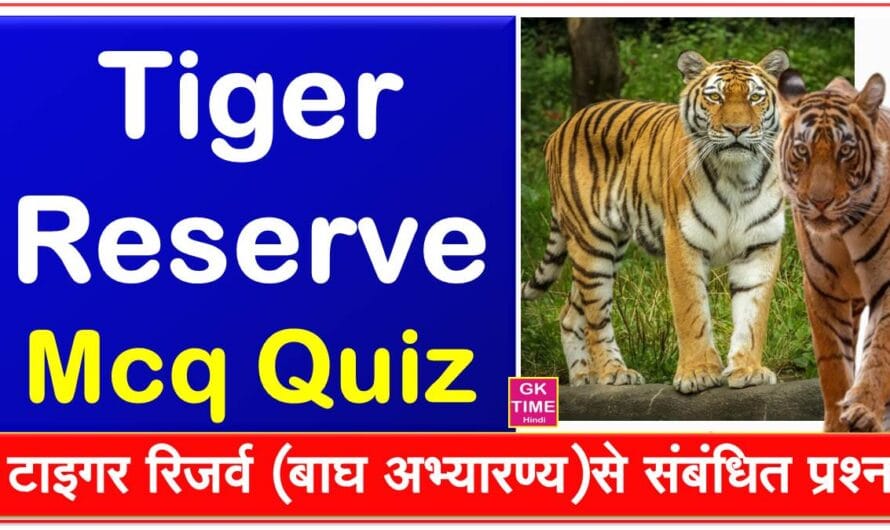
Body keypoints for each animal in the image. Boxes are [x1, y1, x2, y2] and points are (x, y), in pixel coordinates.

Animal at [522, 49, 790, 393]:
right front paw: (698, 373)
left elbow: (753, 315)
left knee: (570, 313)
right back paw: (613, 373)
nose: (737, 129)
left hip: (607, 249)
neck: (738, 177)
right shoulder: (683, 242)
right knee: (596, 316)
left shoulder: (760, 246)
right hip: (592, 244)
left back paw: (583, 379)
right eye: (714, 97)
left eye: (755, 97)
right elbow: (691, 311)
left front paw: (748, 370)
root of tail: (560, 128)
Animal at [776, 70, 890, 431]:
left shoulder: (887, 285)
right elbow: (833, 364)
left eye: (845, 151)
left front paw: (864, 411)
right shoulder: (821, 288)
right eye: (802, 151)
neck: (842, 233)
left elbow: (880, 350)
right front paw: (837, 425)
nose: (820, 202)